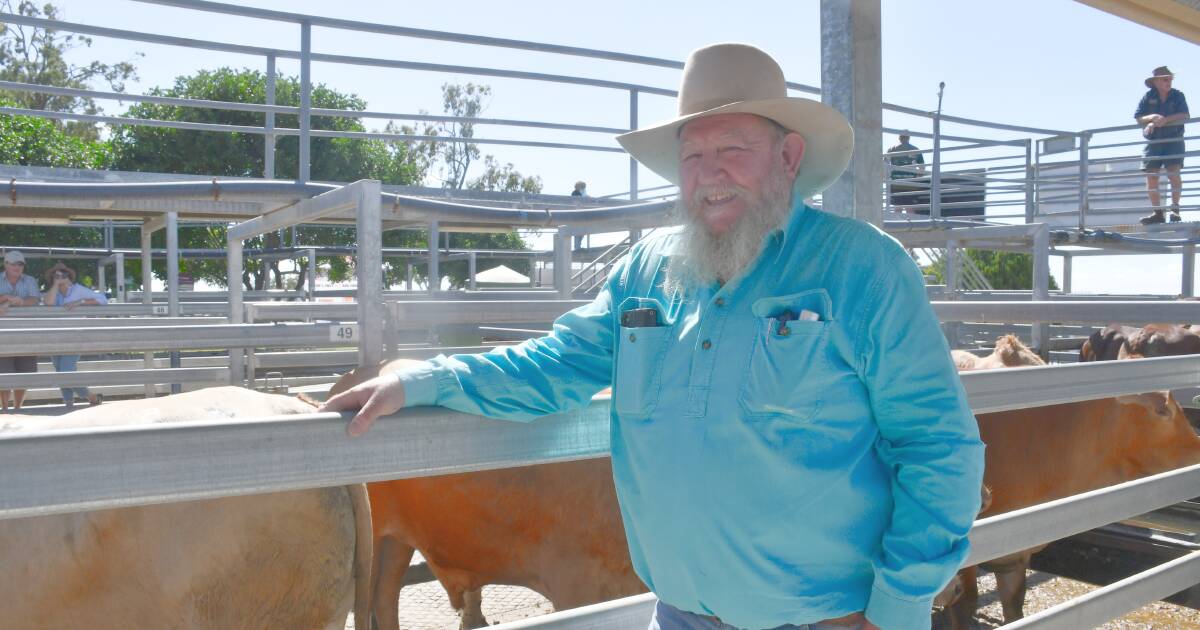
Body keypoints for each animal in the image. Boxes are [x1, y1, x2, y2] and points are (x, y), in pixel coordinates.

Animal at [328, 357, 648, 628]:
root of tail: (355, 372)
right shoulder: (576, 586)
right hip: (375, 538)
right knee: (375, 598)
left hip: (396, 540)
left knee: (384, 594)